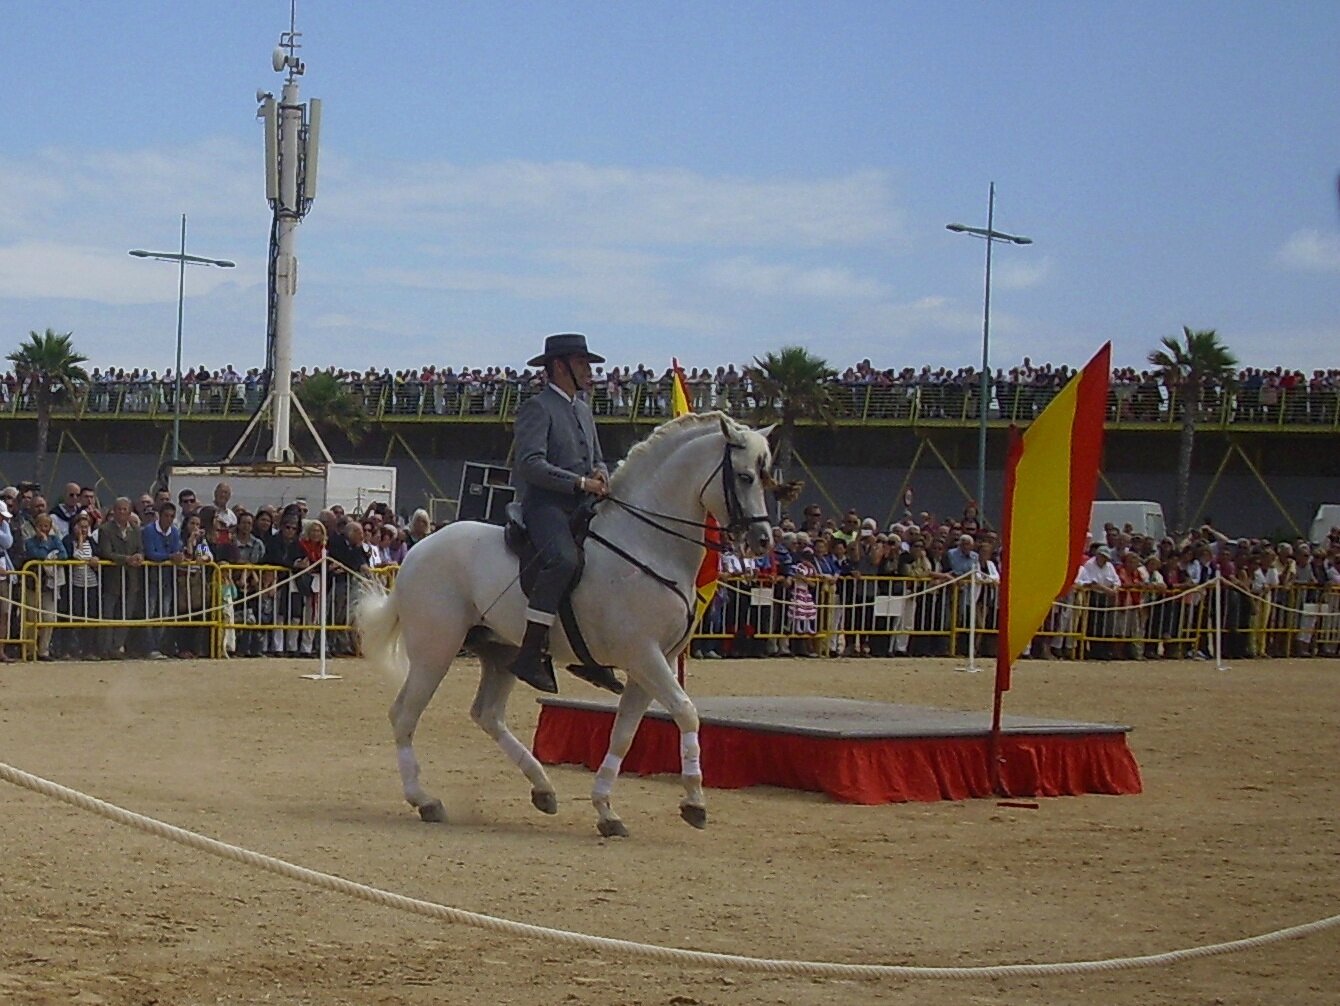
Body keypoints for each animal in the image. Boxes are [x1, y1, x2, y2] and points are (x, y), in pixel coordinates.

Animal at [356, 412, 777, 835]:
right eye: (744, 477)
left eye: (766, 477)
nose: (762, 540)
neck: (648, 546)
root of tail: (419, 552)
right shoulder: (645, 656)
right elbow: (686, 712)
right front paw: (694, 801)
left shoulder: (655, 664)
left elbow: (624, 735)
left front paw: (606, 809)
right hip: (436, 652)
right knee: (404, 715)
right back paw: (425, 800)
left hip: (502, 652)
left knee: (487, 714)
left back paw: (543, 788)